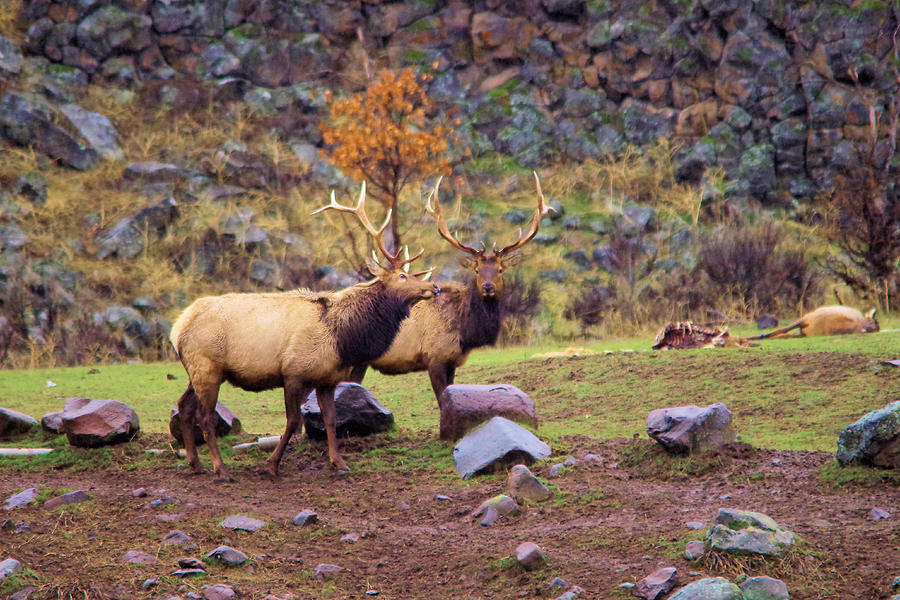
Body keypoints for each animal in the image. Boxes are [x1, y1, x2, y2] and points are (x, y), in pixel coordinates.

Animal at [169, 183, 440, 478]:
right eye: (402, 276)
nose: (434, 287)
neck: (343, 339)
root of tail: (177, 328)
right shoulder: (293, 371)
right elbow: (292, 421)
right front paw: (271, 465)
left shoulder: (327, 379)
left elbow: (331, 420)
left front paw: (339, 462)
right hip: (208, 366)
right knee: (205, 417)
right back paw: (220, 469)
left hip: (195, 369)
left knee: (184, 407)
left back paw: (195, 464)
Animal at [348, 172, 552, 404]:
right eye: (477, 270)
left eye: (500, 269)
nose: (488, 287)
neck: (465, 333)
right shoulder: (434, 357)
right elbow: (441, 399)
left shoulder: (452, 362)